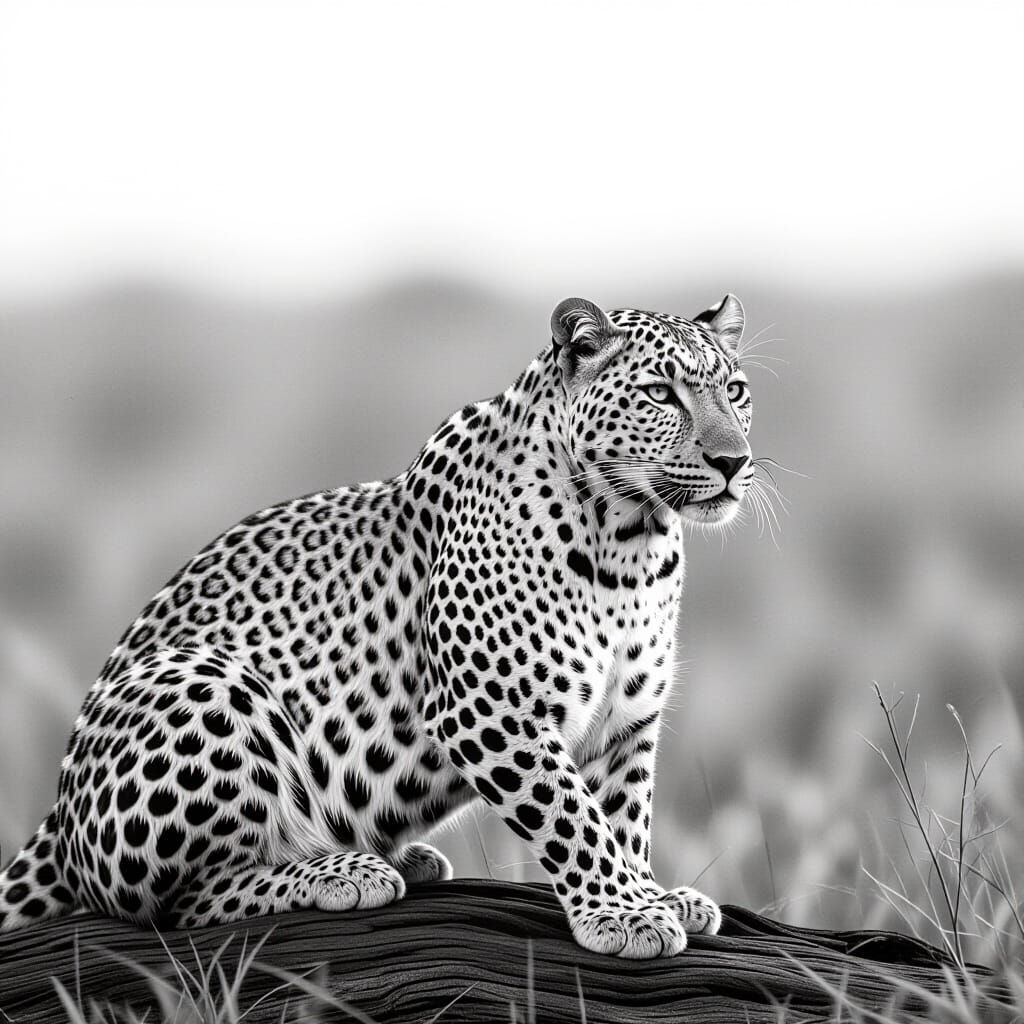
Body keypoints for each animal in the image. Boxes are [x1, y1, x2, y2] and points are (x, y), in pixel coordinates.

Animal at [0, 294, 756, 958]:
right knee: (171, 905)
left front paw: (652, 894)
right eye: (660, 394)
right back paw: (338, 871)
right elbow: (571, 817)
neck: (631, 544)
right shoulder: (492, 713)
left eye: (736, 391)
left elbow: (625, 816)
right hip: (207, 682)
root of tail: (58, 823)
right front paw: (625, 913)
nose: (734, 461)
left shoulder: (625, 720)